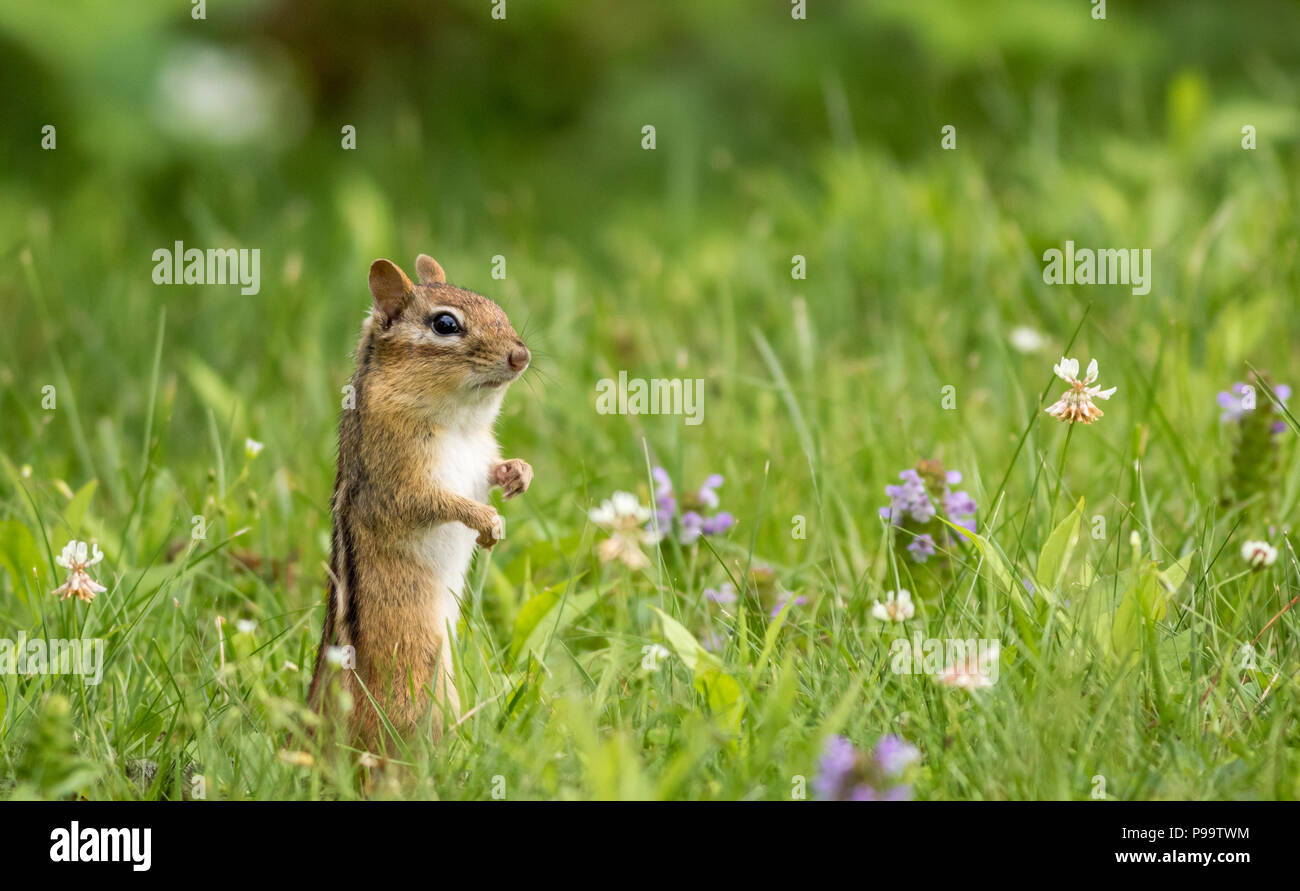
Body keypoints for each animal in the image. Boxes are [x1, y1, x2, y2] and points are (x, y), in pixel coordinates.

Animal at [307, 253, 532, 750]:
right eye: (445, 324)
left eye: (497, 306)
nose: (521, 356)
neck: (460, 421)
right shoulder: (397, 482)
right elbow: (431, 504)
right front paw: (486, 521)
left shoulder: (478, 460)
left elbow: (492, 472)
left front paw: (519, 474)